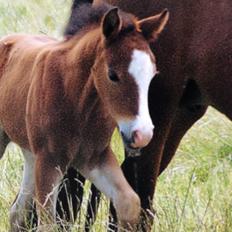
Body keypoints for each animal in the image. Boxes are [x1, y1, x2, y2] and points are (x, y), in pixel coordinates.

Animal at [0, 1, 168, 230]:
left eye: (152, 74)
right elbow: (48, 223)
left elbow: (129, 202)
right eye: (112, 75)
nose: (142, 134)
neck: (78, 102)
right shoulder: (49, 161)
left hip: (31, 153)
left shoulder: (95, 158)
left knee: (16, 213)